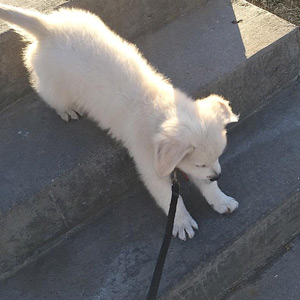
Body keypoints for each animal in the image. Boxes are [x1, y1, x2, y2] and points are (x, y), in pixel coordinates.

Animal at [0, 3, 239, 240]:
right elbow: (169, 197)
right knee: (48, 93)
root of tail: (48, 27)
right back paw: (66, 110)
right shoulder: (150, 165)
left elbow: (206, 187)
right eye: (200, 163)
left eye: (218, 157)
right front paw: (181, 222)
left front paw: (221, 200)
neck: (160, 110)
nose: (218, 176)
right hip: (55, 83)